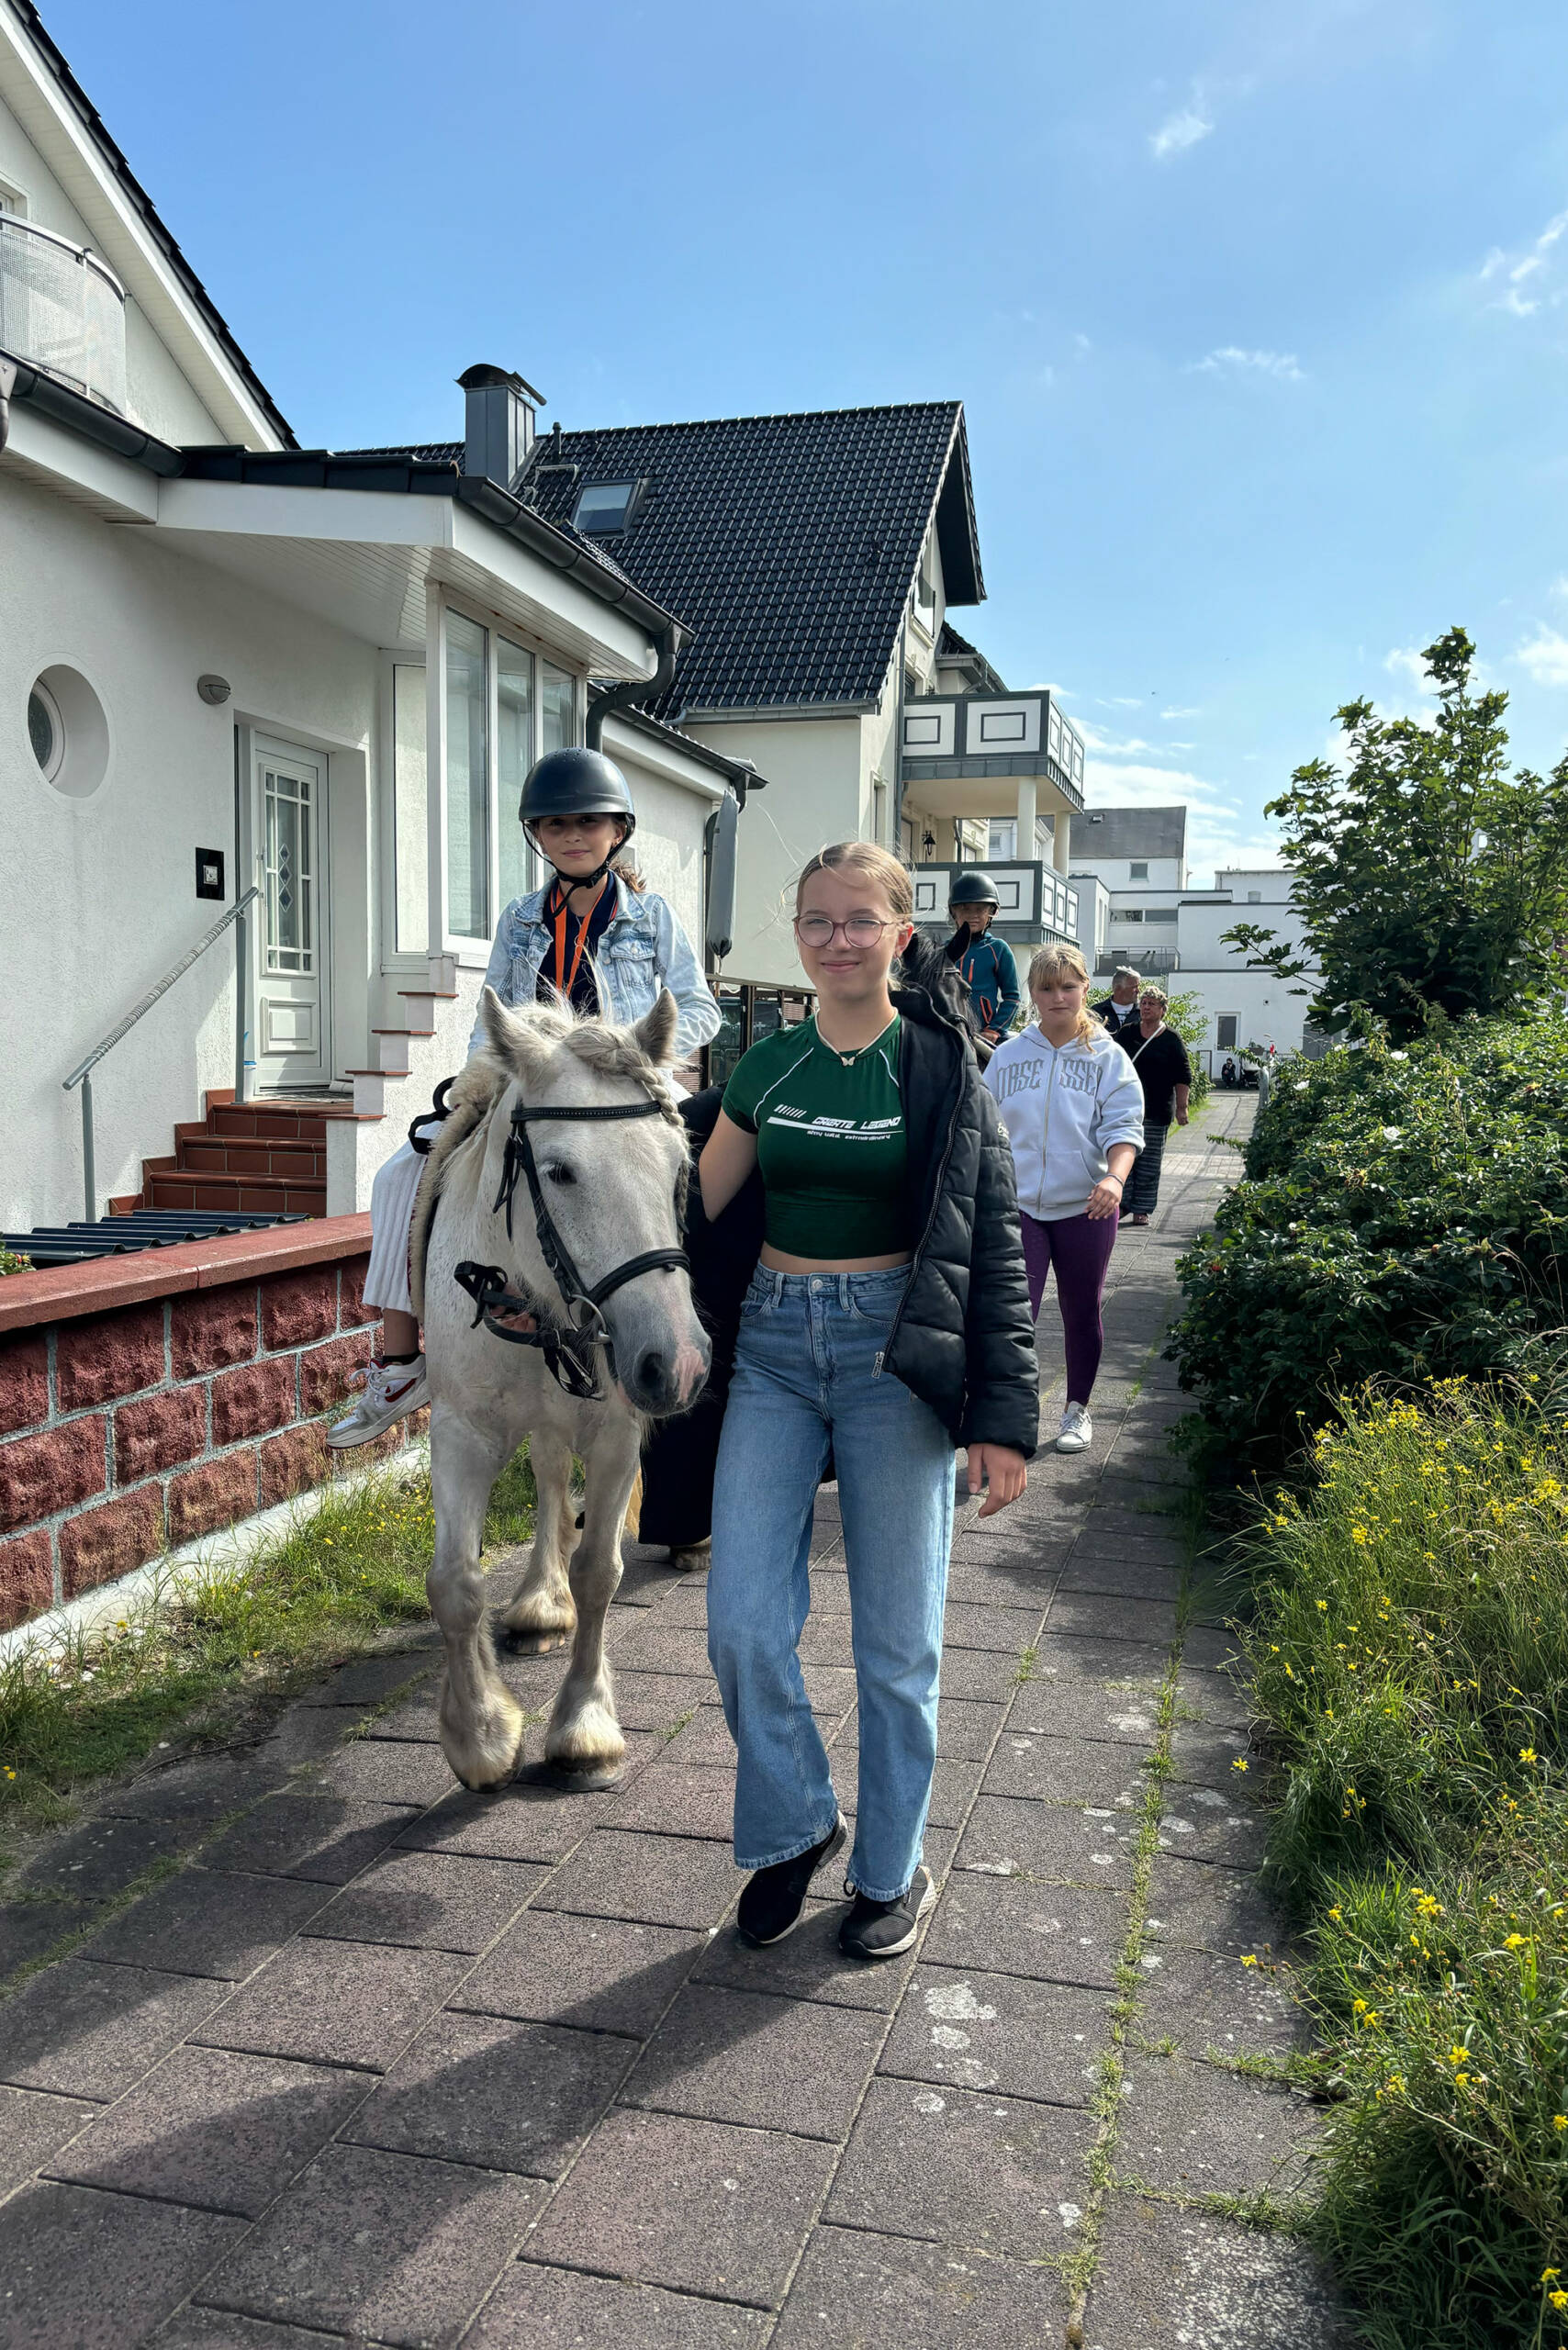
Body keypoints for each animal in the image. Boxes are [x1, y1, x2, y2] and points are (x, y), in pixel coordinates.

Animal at [416, 987, 710, 1776]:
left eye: (679, 1166)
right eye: (558, 1171)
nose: (677, 1362)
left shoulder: (616, 1434)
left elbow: (599, 1572)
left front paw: (584, 1724)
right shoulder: (461, 1429)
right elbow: (454, 1584)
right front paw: (479, 1735)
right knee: (548, 1475)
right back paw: (538, 1604)